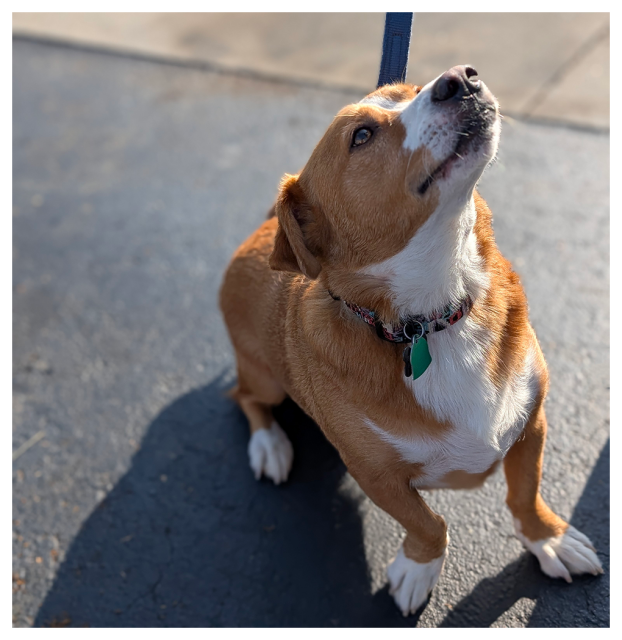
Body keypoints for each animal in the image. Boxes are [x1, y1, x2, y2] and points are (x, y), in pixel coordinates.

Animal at [219, 63, 604, 616]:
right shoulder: (375, 474)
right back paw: (269, 444)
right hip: (266, 379)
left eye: (414, 89)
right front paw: (419, 569)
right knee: (245, 397)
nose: (461, 78)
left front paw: (546, 539)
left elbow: (524, 493)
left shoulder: (532, 423)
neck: (435, 315)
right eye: (361, 136)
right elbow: (429, 523)